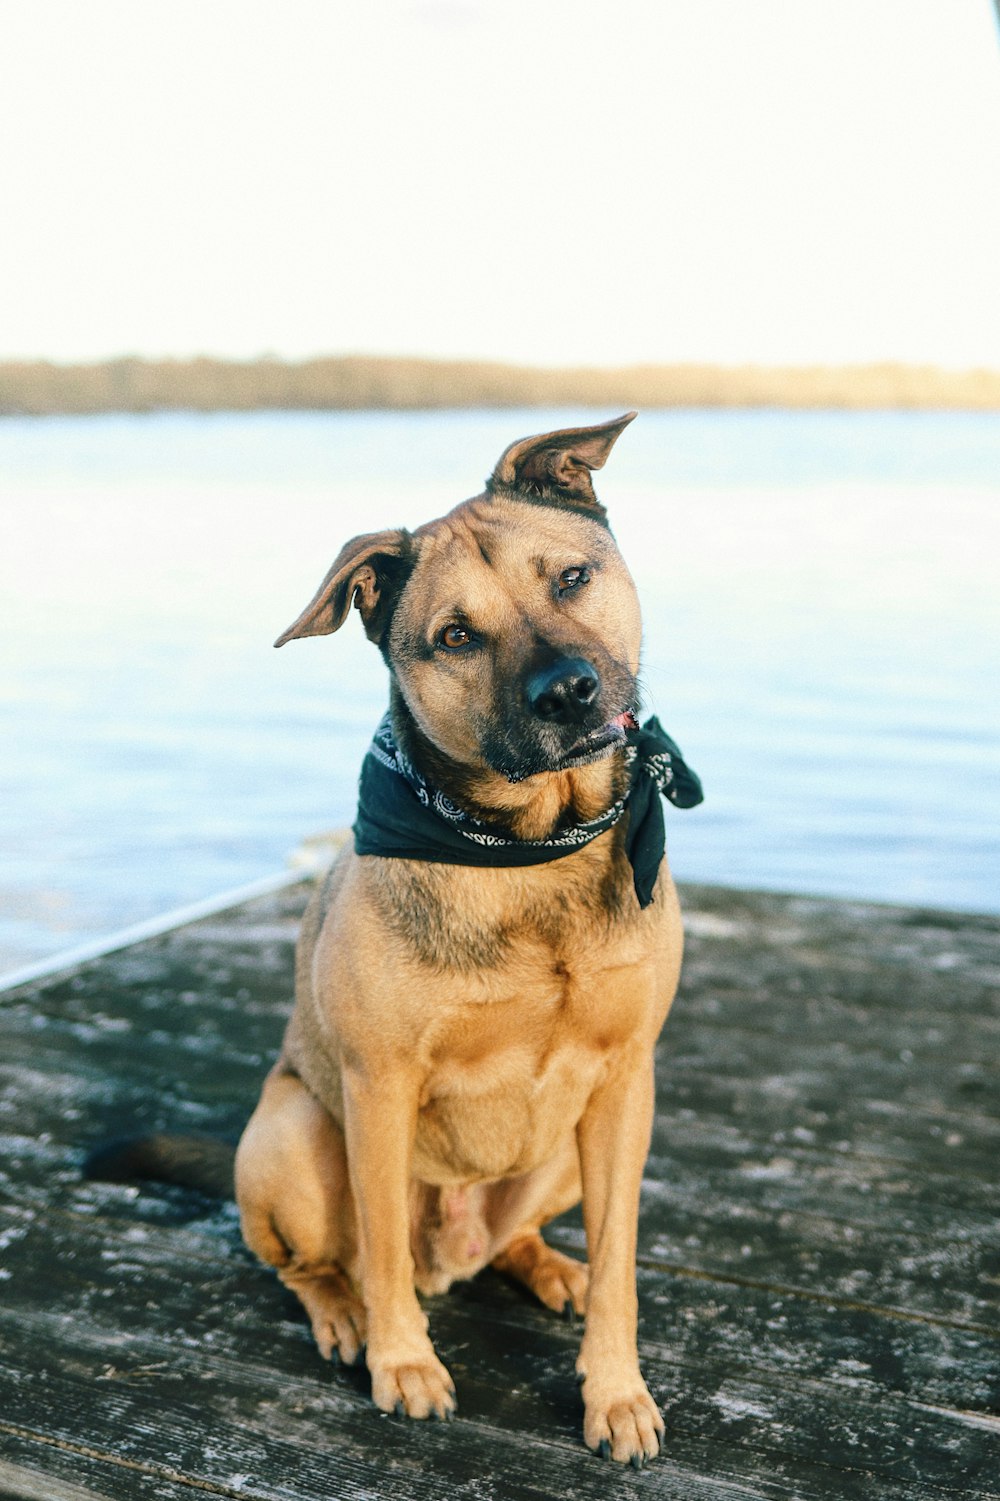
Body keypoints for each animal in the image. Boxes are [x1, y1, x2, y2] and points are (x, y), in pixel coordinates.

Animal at [234, 414, 699, 1464]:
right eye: (456, 636)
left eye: (570, 577)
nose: (568, 691)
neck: (531, 850)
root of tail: (457, 1252)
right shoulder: (379, 1085)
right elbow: (379, 1252)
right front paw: (404, 1363)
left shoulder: (626, 1079)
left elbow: (622, 1260)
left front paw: (616, 1390)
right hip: (293, 1135)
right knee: (325, 1262)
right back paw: (345, 1315)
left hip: (563, 1148)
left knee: (517, 1242)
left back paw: (550, 1267)